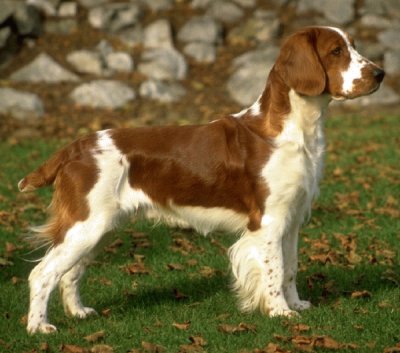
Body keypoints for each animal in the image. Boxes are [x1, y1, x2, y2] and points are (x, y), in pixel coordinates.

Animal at [19, 26, 384, 332]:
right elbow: (275, 269)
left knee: (70, 273)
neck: (293, 130)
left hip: (98, 229)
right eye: (336, 51)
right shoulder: (268, 221)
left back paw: (78, 312)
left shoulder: (292, 218)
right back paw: (39, 327)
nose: (381, 73)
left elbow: (291, 266)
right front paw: (280, 312)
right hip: (86, 225)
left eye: (352, 45)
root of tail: (74, 148)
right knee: (41, 273)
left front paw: (296, 305)